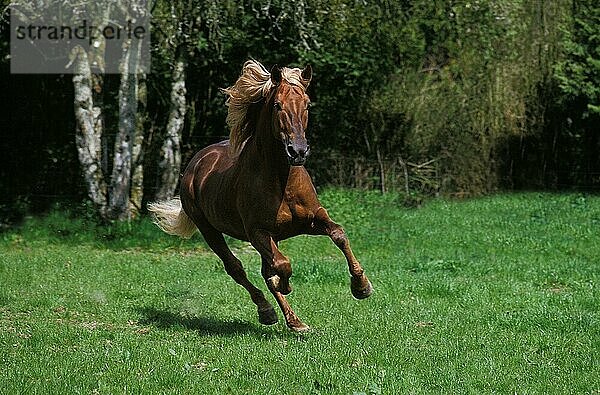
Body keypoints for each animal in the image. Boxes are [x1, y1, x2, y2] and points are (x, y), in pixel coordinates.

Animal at [149, 59, 372, 332]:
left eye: (307, 104)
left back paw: (295, 322)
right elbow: (282, 266)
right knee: (236, 268)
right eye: (277, 105)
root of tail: (196, 162)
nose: (298, 151)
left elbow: (338, 234)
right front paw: (286, 285)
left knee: (265, 271)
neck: (283, 181)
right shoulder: (258, 232)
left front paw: (361, 287)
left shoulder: (312, 220)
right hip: (209, 229)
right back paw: (267, 311)